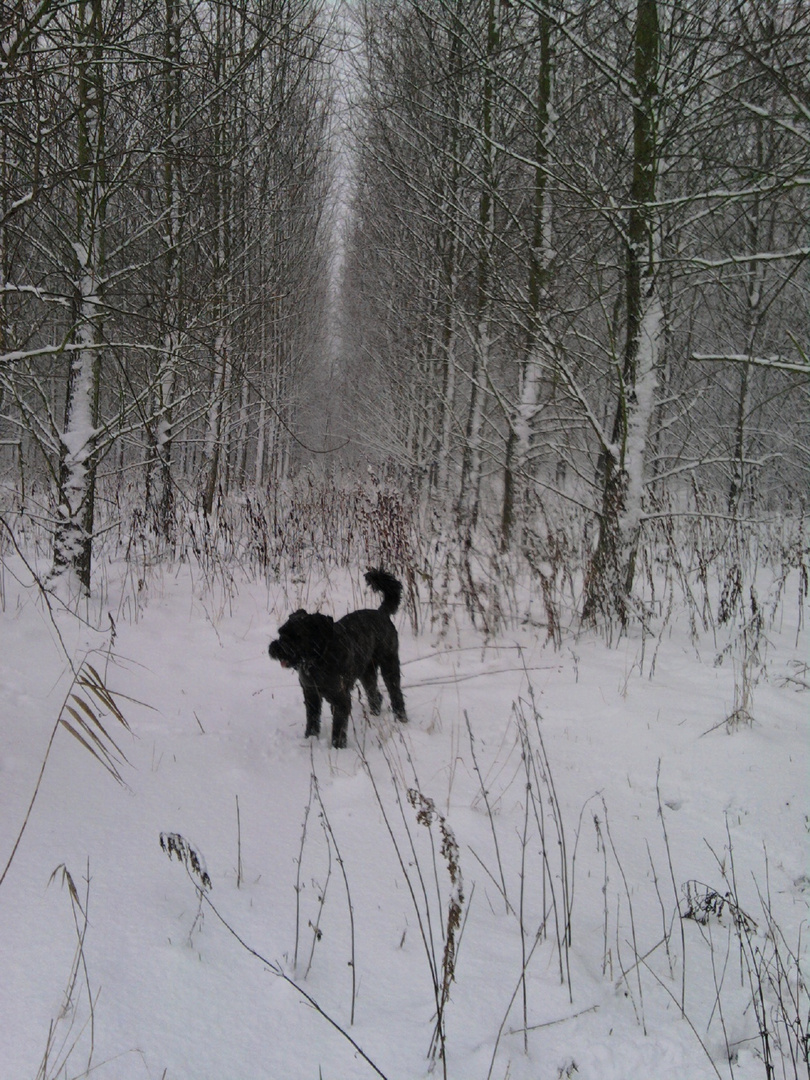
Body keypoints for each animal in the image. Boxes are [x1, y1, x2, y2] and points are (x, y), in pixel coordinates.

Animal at [270, 565, 408, 751]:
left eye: (297, 637)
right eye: (281, 633)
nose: (276, 649)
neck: (317, 660)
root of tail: (382, 613)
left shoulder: (341, 699)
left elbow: (338, 728)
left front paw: (338, 748)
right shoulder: (311, 694)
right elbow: (312, 720)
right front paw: (310, 739)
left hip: (389, 664)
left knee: (395, 692)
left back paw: (401, 718)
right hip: (367, 672)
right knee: (374, 694)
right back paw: (374, 714)